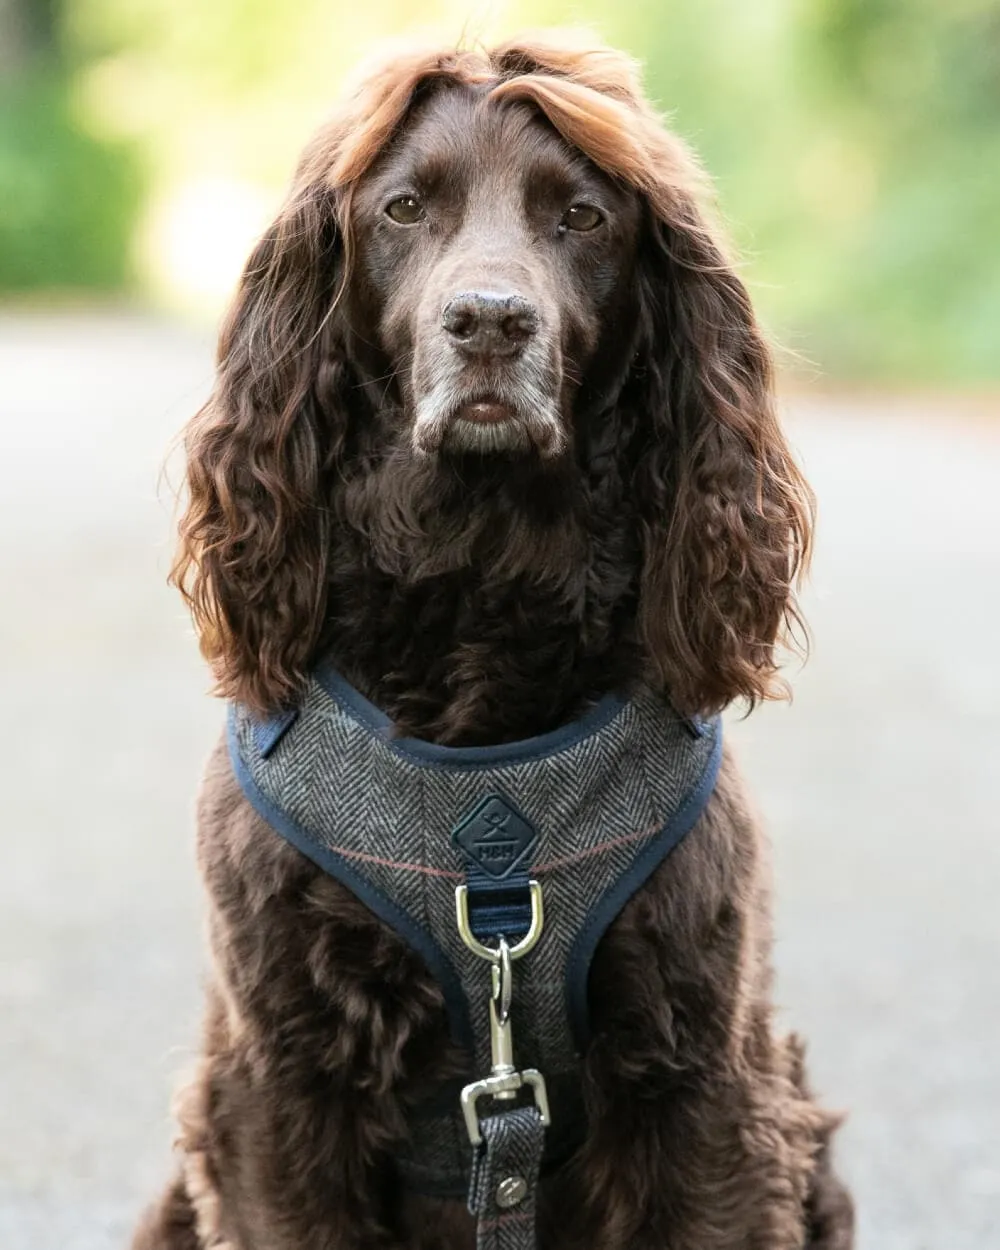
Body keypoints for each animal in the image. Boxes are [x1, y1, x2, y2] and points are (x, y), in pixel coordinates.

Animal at [130, 34, 850, 1245]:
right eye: (404, 207)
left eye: (584, 216)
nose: (489, 322)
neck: (478, 583)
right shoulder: (279, 1085)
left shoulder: (701, 1080)